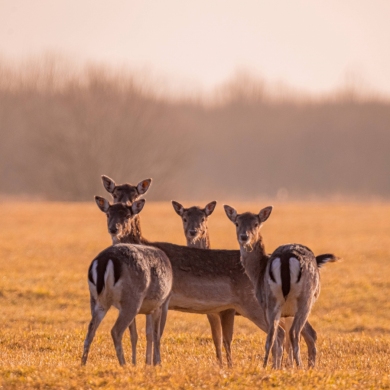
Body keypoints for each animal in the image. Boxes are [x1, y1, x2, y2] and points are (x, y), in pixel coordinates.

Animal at [82, 198, 172, 366]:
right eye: (108, 214)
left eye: (127, 215)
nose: (113, 229)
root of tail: (105, 260)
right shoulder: (161, 302)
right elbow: (155, 334)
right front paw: (155, 363)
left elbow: (137, 334)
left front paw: (139, 363)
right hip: (132, 300)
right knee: (115, 331)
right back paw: (123, 365)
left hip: (97, 300)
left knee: (91, 329)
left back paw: (82, 365)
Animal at [172, 200, 236, 368]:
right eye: (184, 218)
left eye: (203, 219)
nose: (193, 232)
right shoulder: (210, 311)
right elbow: (216, 339)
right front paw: (220, 365)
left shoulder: (229, 309)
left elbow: (227, 340)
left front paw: (230, 366)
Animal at [224, 204, 340, 368]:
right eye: (237, 223)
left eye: (256, 224)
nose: (244, 237)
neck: (257, 272)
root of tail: (285, 258)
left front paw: (280, 367)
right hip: (305, 299)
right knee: (296, 333)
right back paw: (302, 367)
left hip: (273, 302)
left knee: (273, 336)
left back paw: (266, 366)